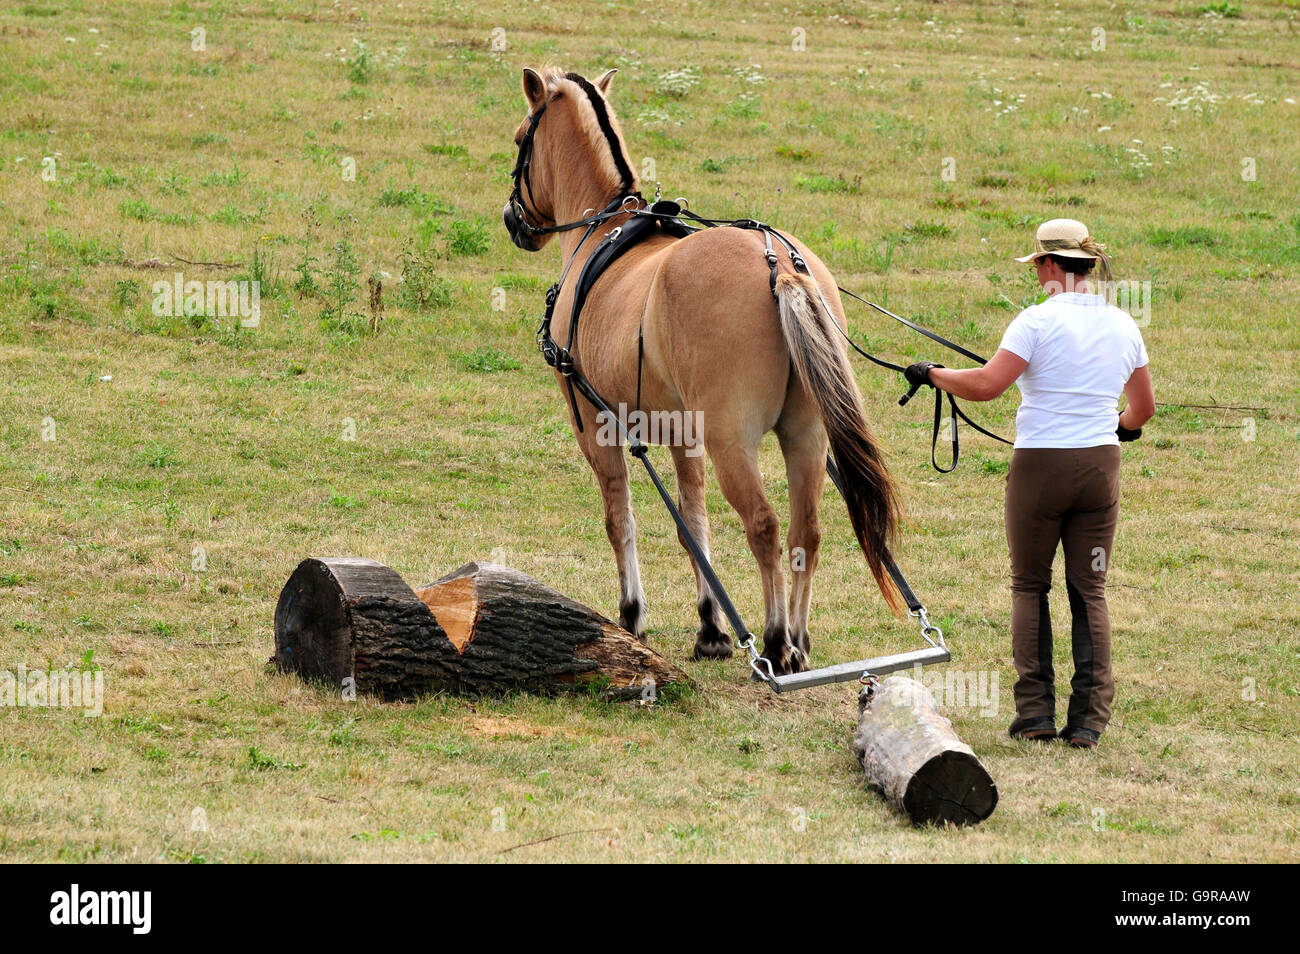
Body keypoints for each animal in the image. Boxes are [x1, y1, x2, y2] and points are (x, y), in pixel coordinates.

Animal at [501, 66, 901, 675]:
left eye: (522, 136)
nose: (512, 220)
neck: (605, 229)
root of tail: (779, 265)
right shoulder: (683, 435)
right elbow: (694, 524)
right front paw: (711, 628)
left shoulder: (595, 427)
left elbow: (621, 520)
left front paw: (632, 616)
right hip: (806, 436)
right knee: (806, 530)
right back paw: (800, 640)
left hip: (732, 442)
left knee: (764, 526)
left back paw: (777, 641)